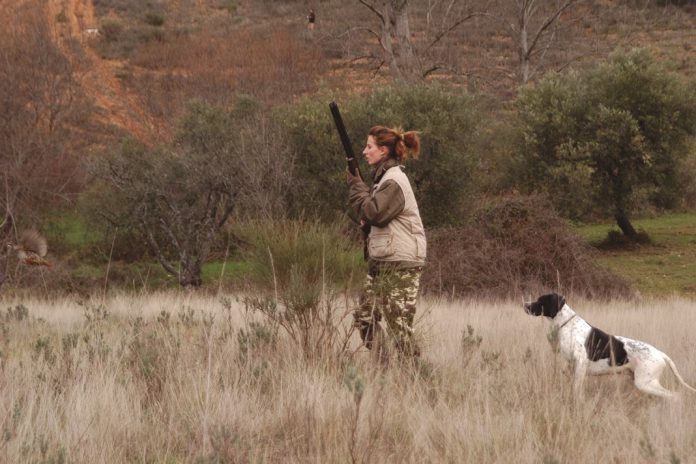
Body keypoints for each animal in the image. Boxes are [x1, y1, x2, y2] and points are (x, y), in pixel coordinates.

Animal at [520, 294, 696, 398]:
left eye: (540, 301)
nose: (524, 305)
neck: (566, 324)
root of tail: (661, 354)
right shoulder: (570, 366)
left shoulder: (580, 365)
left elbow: (576, 389)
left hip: (645, 383)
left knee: (674, 396)